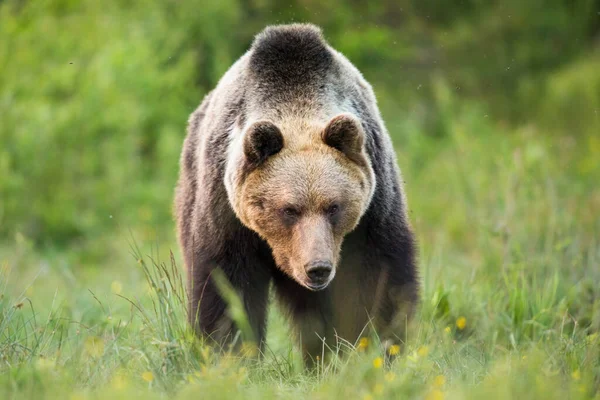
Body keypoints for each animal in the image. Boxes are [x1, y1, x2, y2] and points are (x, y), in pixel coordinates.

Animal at [173, 22, 418, 366]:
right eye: (289, 209)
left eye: (334, 207)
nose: (318, 268)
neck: (296, 103)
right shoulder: (225, 210)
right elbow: (226, 285)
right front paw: (230, 354)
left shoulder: (374, 205)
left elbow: (377, 278)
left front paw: (379, 348)